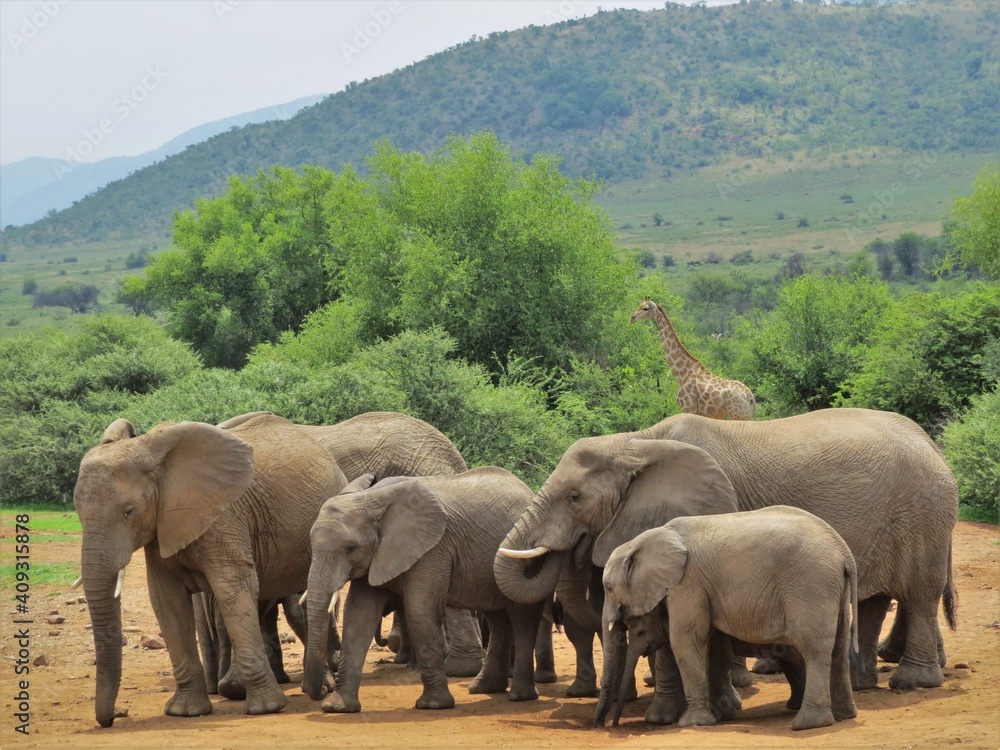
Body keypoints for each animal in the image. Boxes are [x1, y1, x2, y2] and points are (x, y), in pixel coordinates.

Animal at [73, 413, 348, 727]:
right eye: (77, 512)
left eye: (129, 511)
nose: (109, 720)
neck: (153, 454)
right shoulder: (162, 526)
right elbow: (167, 601)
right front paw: (185, 712)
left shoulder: (225, 515)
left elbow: (232, 590)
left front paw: (266, 708)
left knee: (301, 606)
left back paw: (319, 687)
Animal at [302, 469, 558, 712]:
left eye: (351, 548)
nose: (321, 691)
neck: (371, 499)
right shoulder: (378, 555)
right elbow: (358, 615)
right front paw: (337, 708)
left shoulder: (433, 549)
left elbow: (420, 610)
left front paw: (433, 705)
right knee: (498, 620)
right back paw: (484, 688)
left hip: (524, 558)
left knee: (521, 618)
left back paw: (520, 696)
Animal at [495, 408, 958, 703]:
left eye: (574, 498)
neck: (635, 443)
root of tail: (932, 444)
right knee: (873, 600)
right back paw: (862, 684)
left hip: (925, 515)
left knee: (920, 593)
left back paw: (911, 682)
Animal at [595, 507, 859, 731]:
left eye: (608, 588)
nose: (608, 725)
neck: (644, 540)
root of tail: (844, 552)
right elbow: (714, 647)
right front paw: (721, 715)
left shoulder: (687, 583)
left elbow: (686, 639)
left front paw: (694, 722)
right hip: (832, 589)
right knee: (839, 647)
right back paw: (844, 715)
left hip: (811, 586)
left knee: (813, 650)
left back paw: (807, 724)